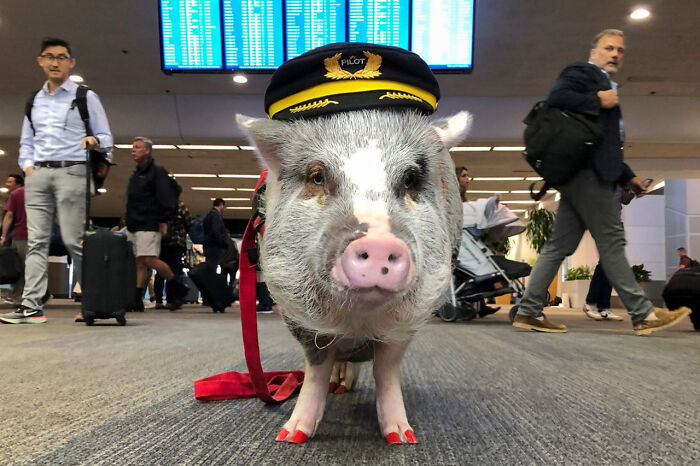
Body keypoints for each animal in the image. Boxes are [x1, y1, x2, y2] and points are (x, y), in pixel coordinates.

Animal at [237, 108, 471, 444]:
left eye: (410, 179)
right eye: (317, 176)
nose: (378, 243)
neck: (358, 319)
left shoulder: (407, 321)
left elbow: (386, 370)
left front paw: (401, 437)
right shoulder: (300, 319)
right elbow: (315, 371)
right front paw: (291, 436)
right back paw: (338, 387)